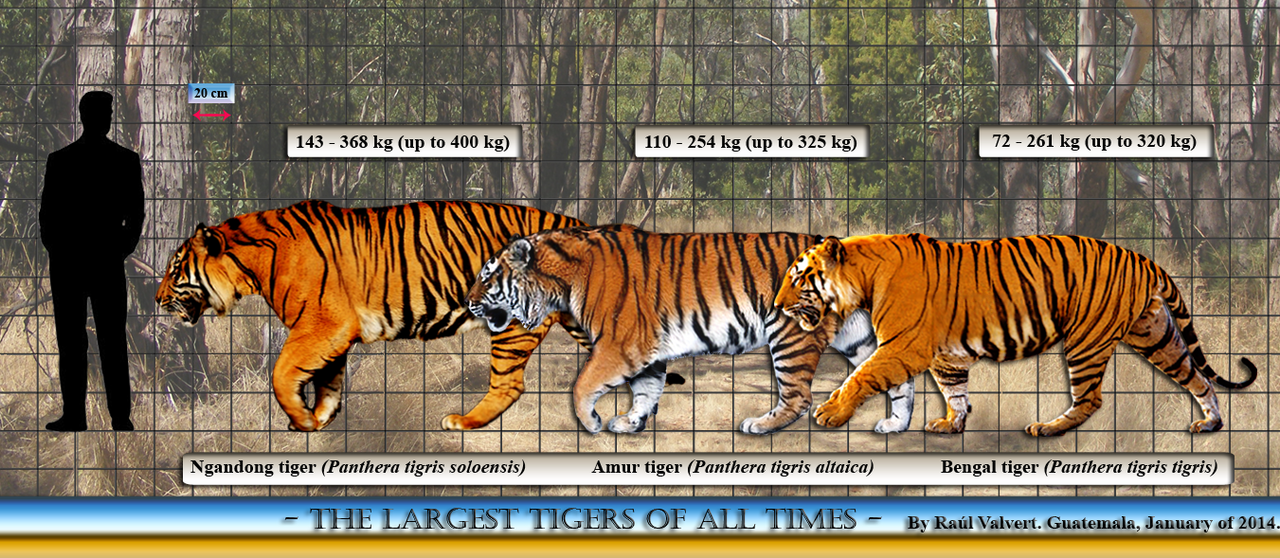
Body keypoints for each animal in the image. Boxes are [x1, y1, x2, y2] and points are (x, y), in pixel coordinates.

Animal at [157, 200, 610, 432]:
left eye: (175, 271)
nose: (157, 300)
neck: (251, 266)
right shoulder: (333, 333)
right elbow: (328, 380)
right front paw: (319, 418)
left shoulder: (322, 324)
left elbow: (282, 373)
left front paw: (300, 419)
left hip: (514, 322)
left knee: (509, 384)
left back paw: (463, 421)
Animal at [466, 224, 916, 436]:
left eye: (487, 277)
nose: (467, 301)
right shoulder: (646, 350)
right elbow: (647, 390)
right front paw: (630, 423)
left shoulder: (620, 344)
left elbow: (582, 384)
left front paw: (591, 423)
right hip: (855, 336)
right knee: (895, 375)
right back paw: (895, 425)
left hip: (789, 334)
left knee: (799, 396)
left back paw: (760, 425)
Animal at [774, 233, 1258, 436]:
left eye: (799, 278)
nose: (775, 305)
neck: (865, 277)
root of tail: (1142, 258)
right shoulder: (947, 356)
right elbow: (955, 393)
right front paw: (951, 425)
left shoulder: (903, 346)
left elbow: (859, 377)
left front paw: (830, 412)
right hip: (1155, 334)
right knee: (1198, 377)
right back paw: (1210, 423)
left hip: (1086, 340)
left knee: (1091, 399)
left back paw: (1049, 428)